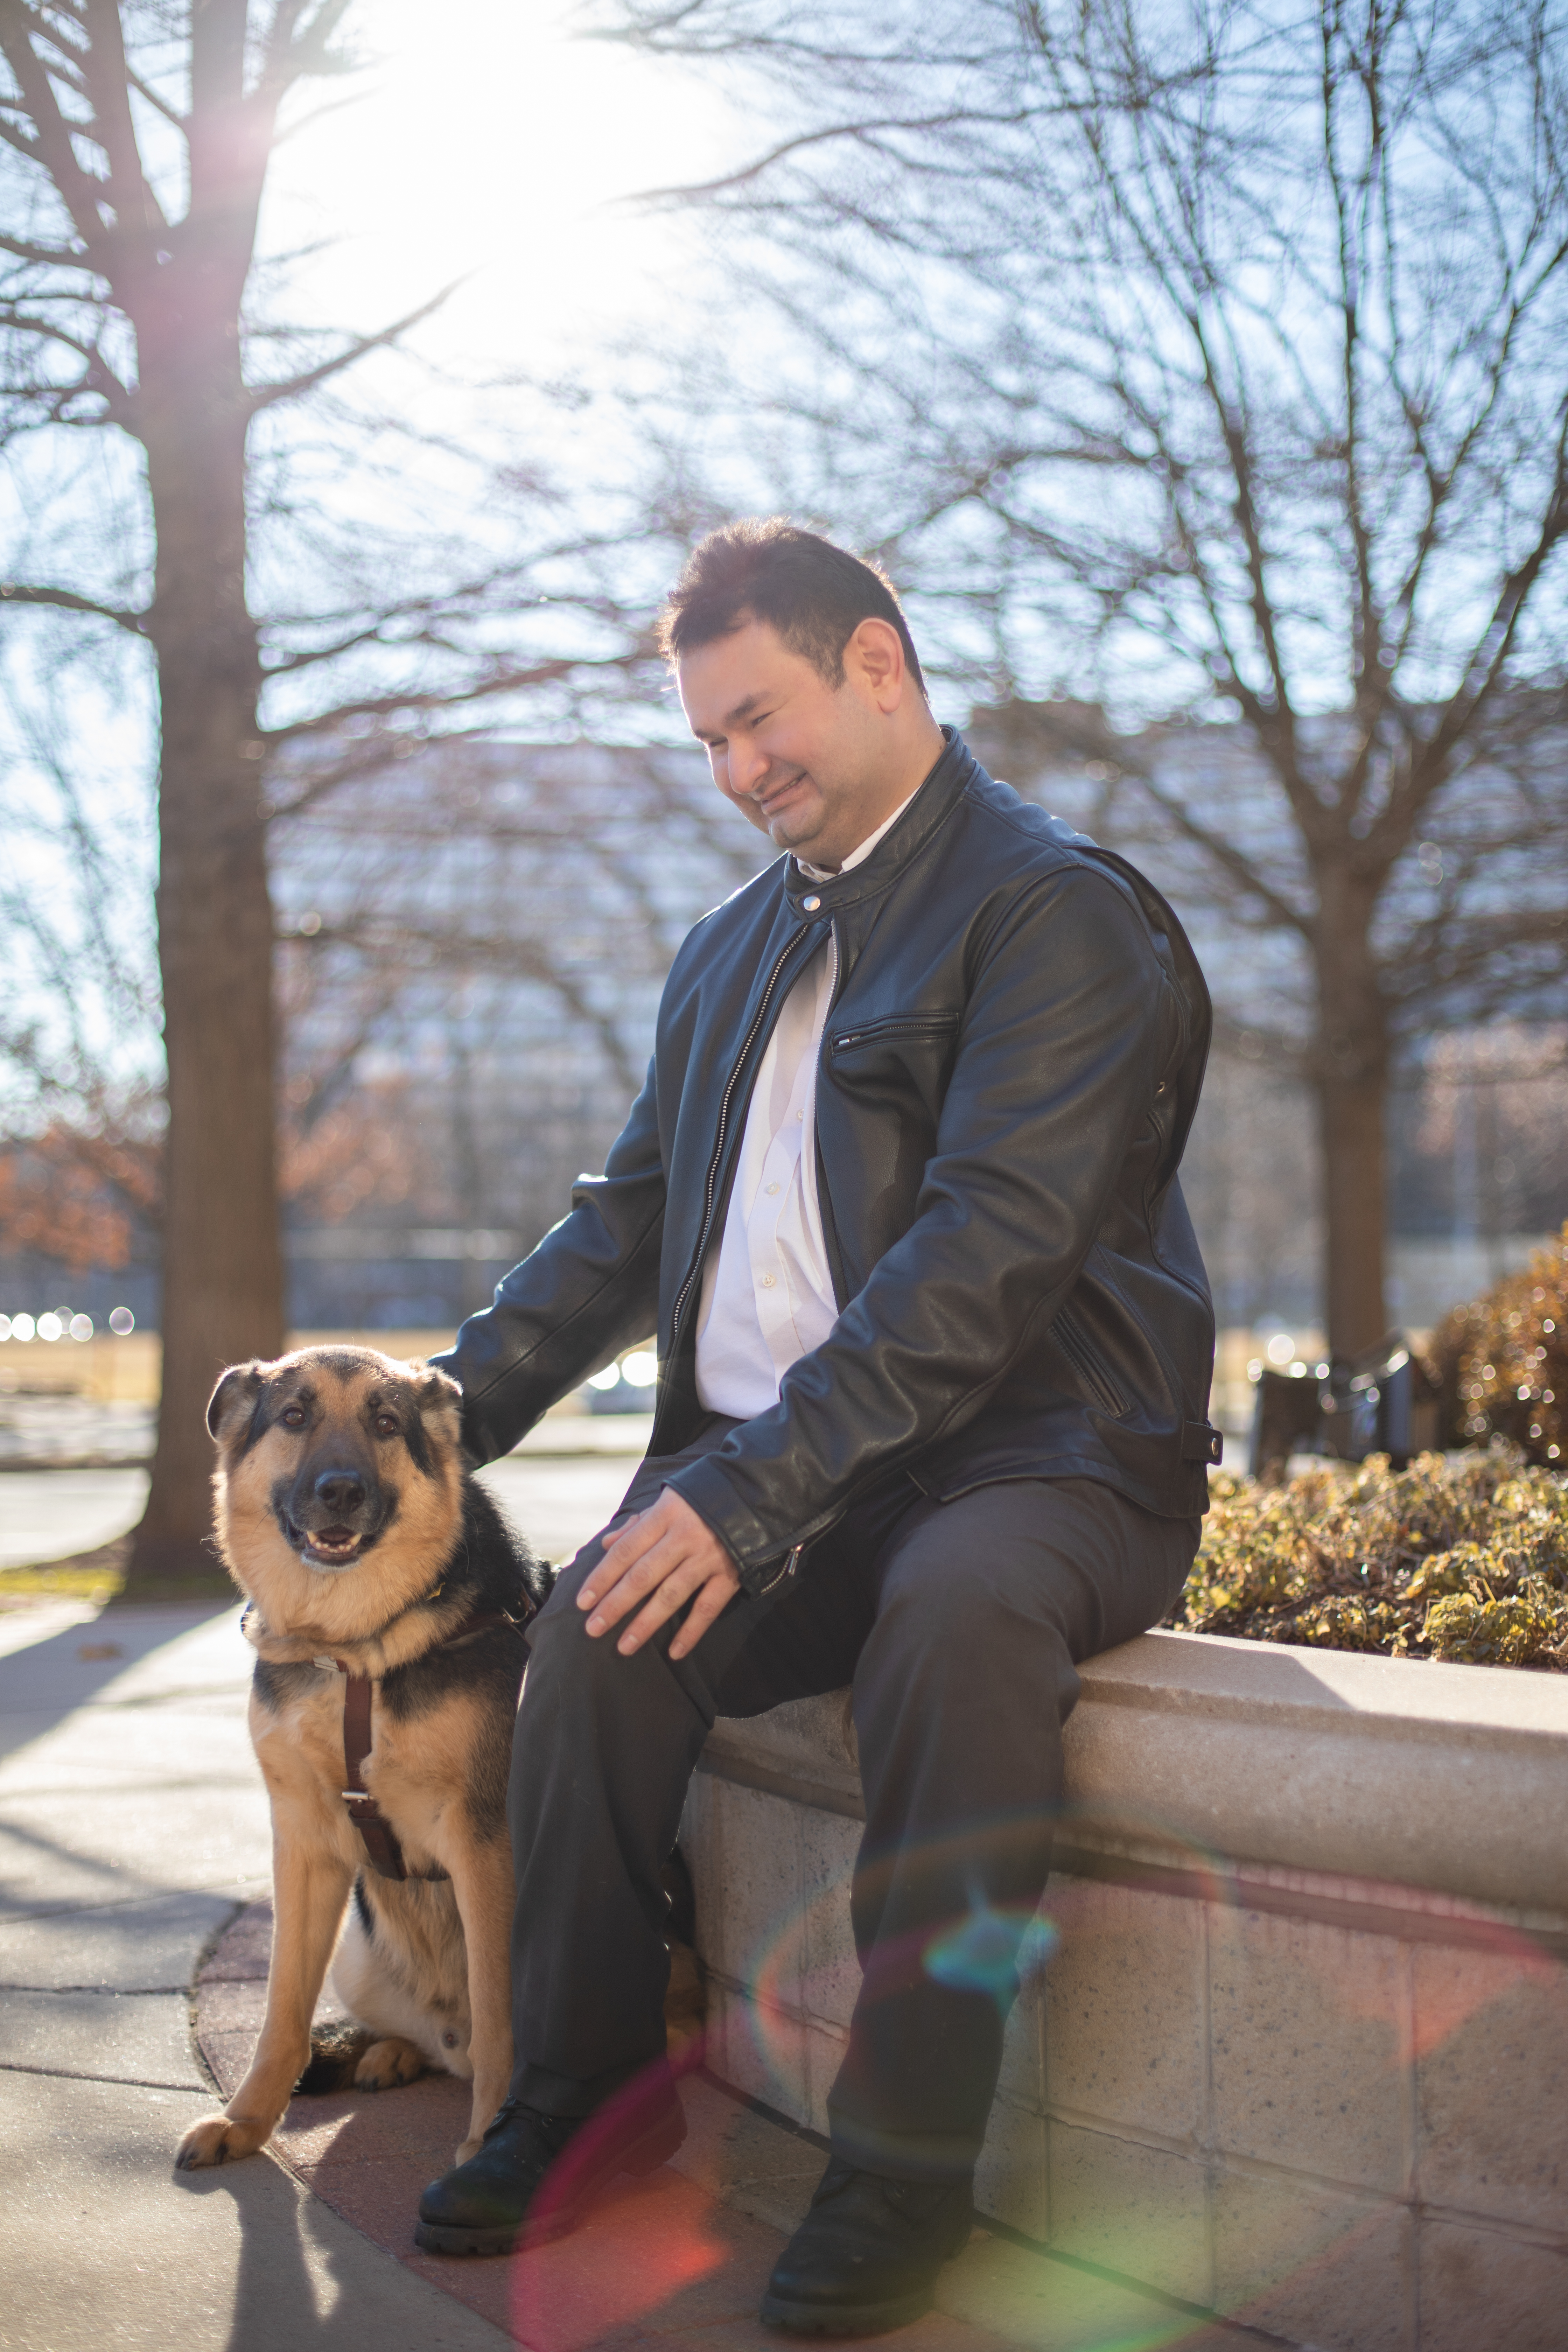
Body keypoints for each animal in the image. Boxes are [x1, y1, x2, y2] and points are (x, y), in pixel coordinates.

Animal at [173, 1345, 545, 2164]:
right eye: (293, 1416)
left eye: (385, 1424)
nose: (340, 1491)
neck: (352, 1650)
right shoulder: (305, 1846)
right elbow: (281, 2011)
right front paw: (247, 2121)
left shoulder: (486, 1848)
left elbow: (502, 2015)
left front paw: (485, 2141)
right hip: (357, 1954)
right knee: (434, 2043)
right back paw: (391, 2053)